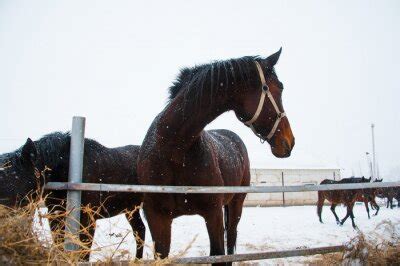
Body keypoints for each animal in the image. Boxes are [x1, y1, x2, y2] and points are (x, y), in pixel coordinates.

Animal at [136, 47, 296, 262]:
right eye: (279, 87)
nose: (289, 141)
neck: (173, 147)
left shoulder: (213, 215)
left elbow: (219, 254)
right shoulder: (157, 218)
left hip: (236, 204)